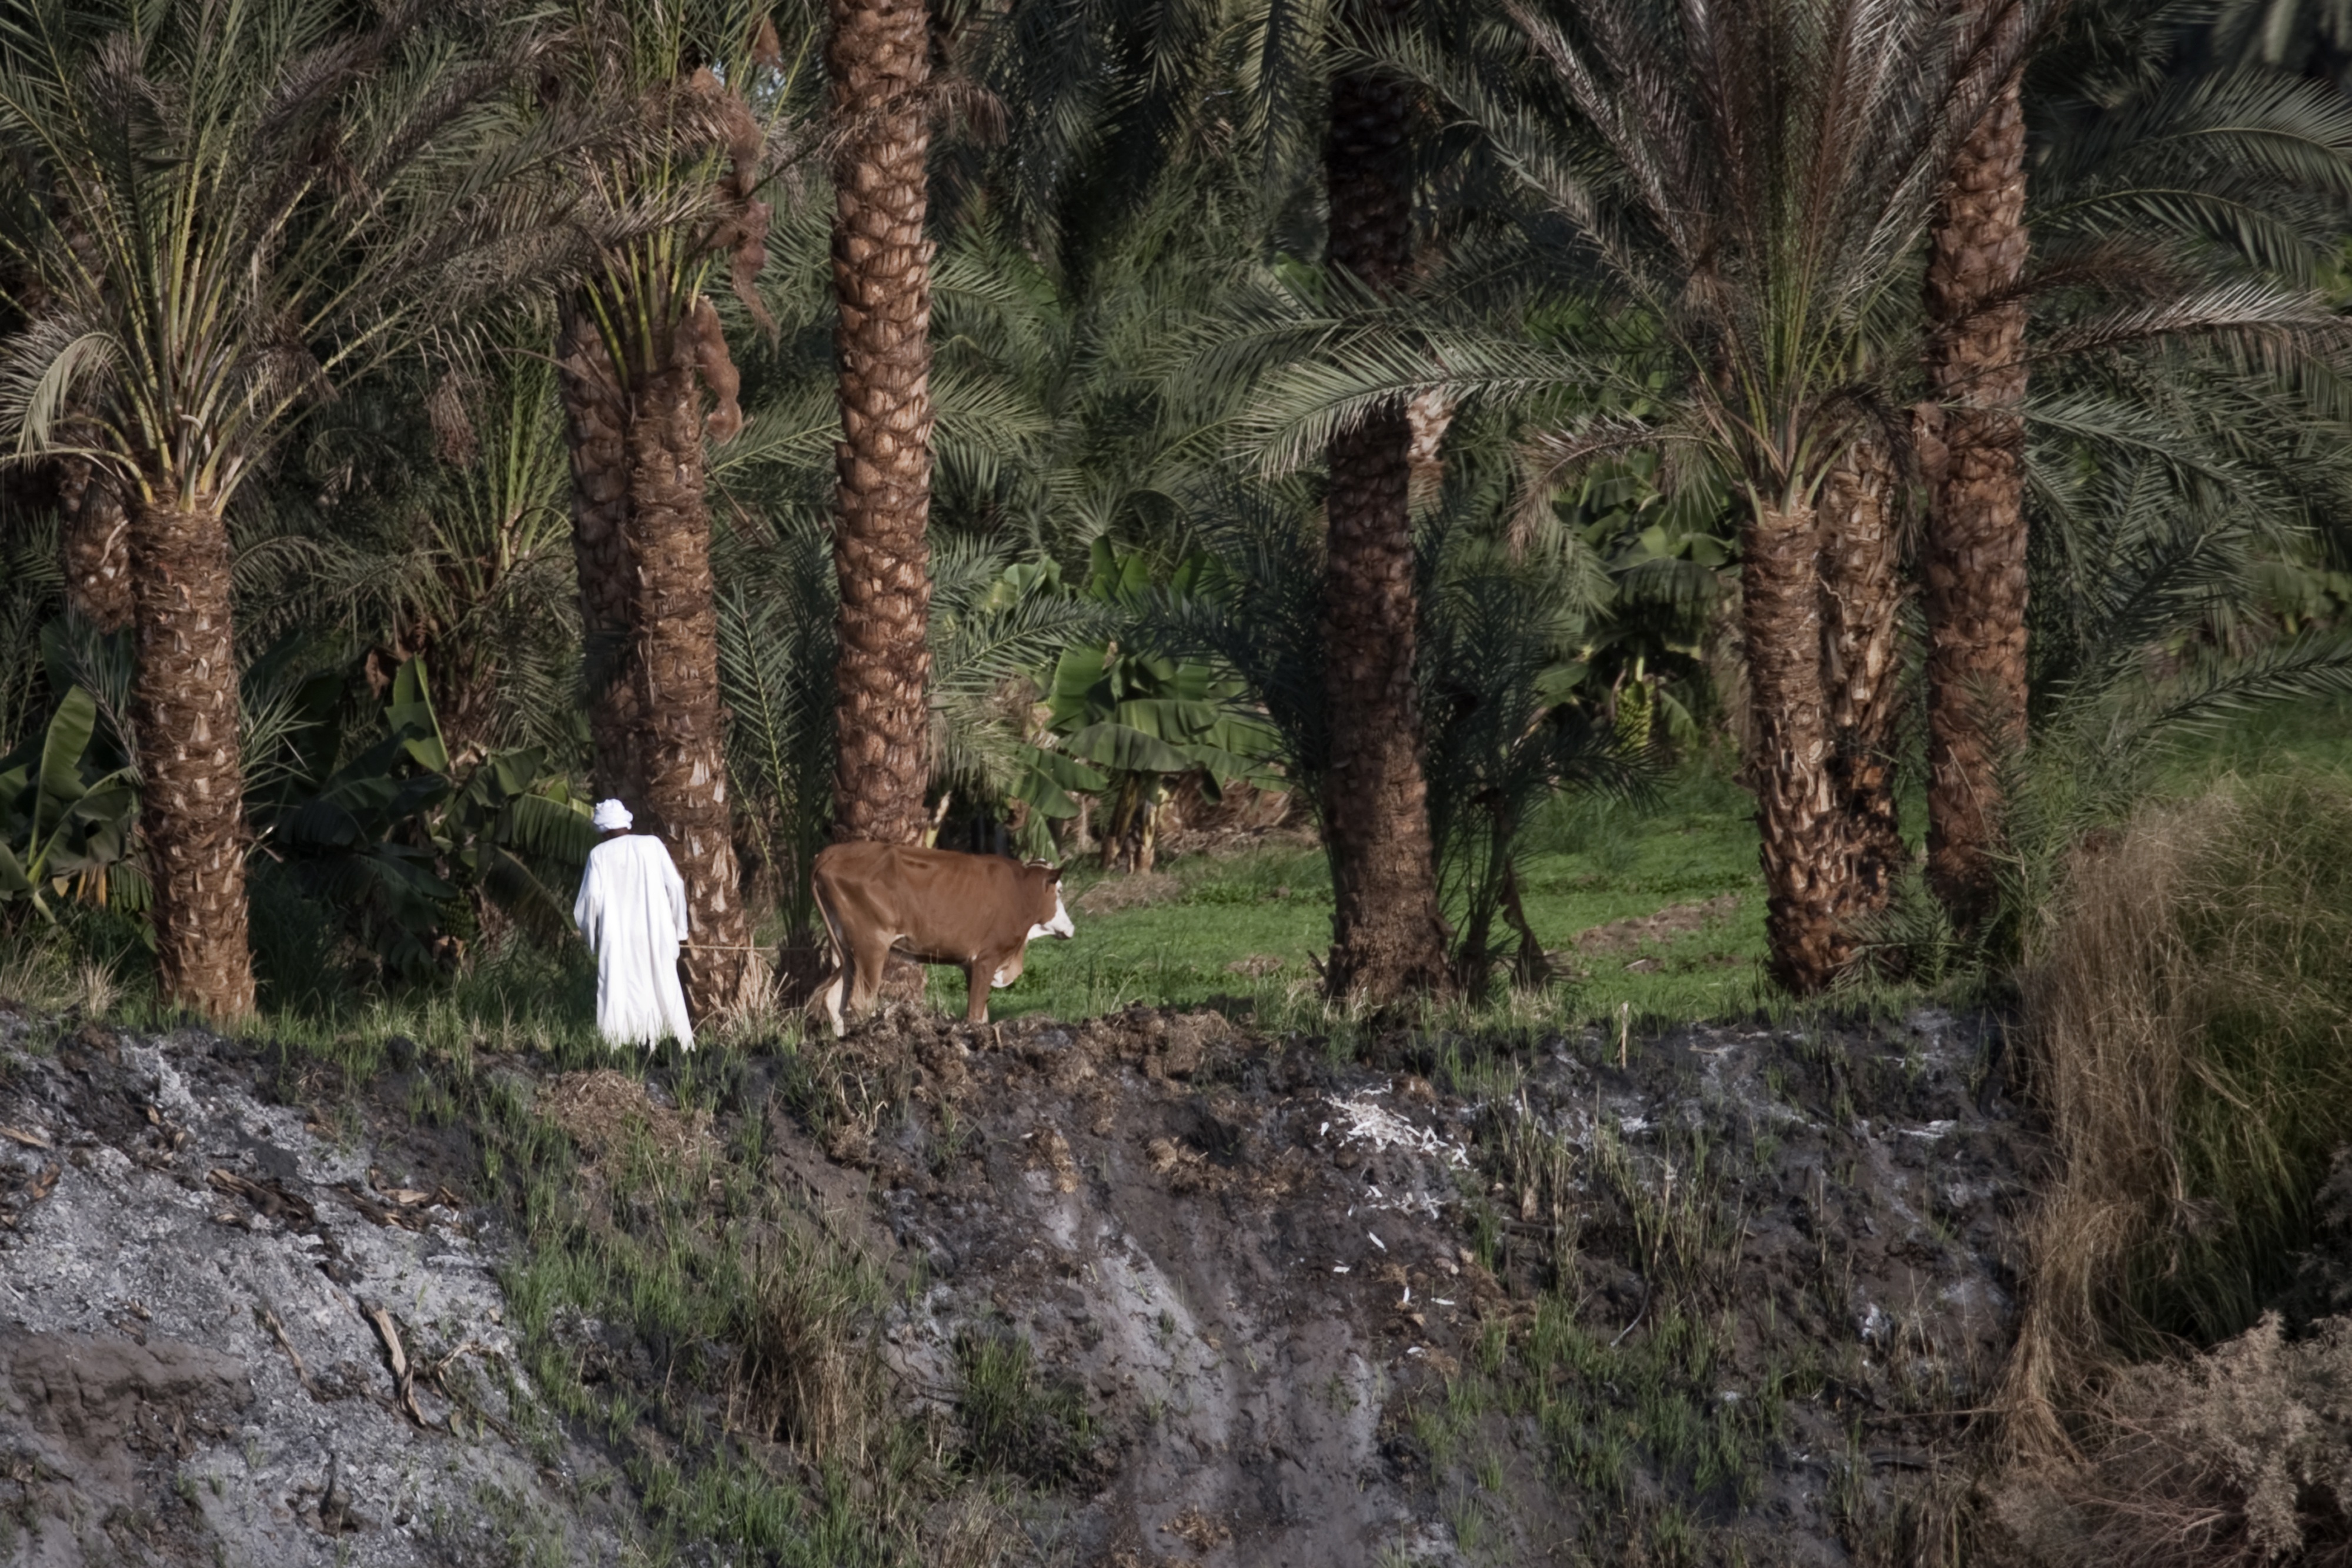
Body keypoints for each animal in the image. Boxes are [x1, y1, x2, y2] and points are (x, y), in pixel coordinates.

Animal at [804, 841, 1073, 1034]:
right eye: (1059, 891)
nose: (1071, 927)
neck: (1020, 892)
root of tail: (832, 852)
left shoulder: (971, 966)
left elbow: (983, 1015)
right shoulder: (987, 958)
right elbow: (975, 1015)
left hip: (845, 949)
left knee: (833, 998)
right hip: (871, 945)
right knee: (862, 1001)